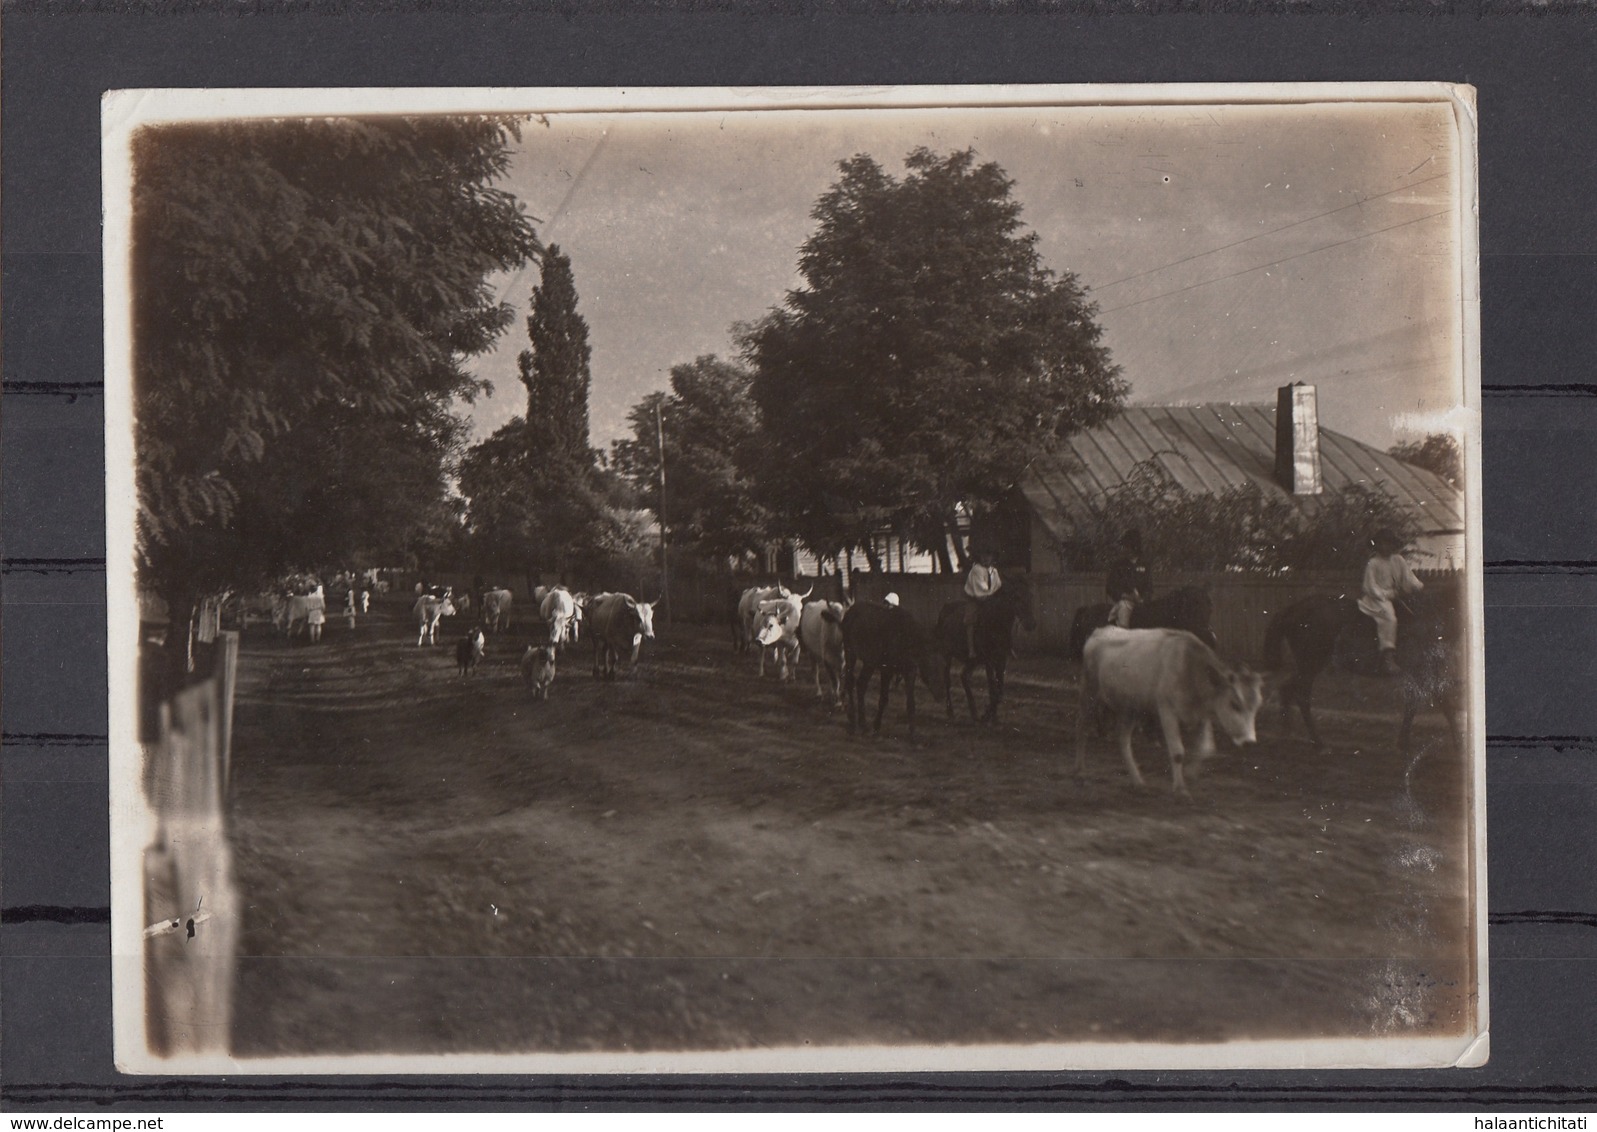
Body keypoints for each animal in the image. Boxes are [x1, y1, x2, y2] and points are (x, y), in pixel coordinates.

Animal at [849, 600, 945, 740]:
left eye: (944, 665)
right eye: (930, 665)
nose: (941, 695)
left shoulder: (910, 671)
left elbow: (910, 703)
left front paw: (913, 734)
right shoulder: (887, 670)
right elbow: (883, 699)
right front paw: (876, 727)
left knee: (854, 683)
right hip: (856, 656)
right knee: (856, 684)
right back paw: (859, 724)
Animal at [932, 574, 1041, 724]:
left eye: (1030, 595)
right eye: (1017, 597)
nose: (1031, 624)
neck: (996, 623)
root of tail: (944, 610)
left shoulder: (1001, 660)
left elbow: (999, 691)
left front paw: (991, 715)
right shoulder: (989, 661)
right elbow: (992, 689)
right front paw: (988, 715)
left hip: (972, 661)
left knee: (964, 677)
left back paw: (974, 712)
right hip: (947, 655)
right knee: (948, 680)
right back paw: (951, 712)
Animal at [1079, 622, 1264, 798]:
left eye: (1257, 706)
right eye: (1234, 704)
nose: (1249, 742)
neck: (1189, 668)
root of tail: (1100, 630)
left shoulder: (1201, 715)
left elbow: (1206, 749)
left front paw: (1190, 773)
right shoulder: (1167, 710)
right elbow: (1177, 752)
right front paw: (1180, 789)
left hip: (1130, 707)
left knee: (1123, 739)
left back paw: (1138, 782)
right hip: (1090, 693)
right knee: (1082, 729)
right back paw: (1079, 770)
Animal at [1258, 574, 1469, 750]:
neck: (1428, 617)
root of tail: (1294, 608)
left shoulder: (1419, 673)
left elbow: (1414, 703)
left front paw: (1403, 742)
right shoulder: (1421, 670)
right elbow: (1443, 703)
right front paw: (1458, 743)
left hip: (1308, 665)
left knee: (1287, 689)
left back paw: (1287, 733)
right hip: (1311, 663)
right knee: (1301, 696)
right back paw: (1317, 742)